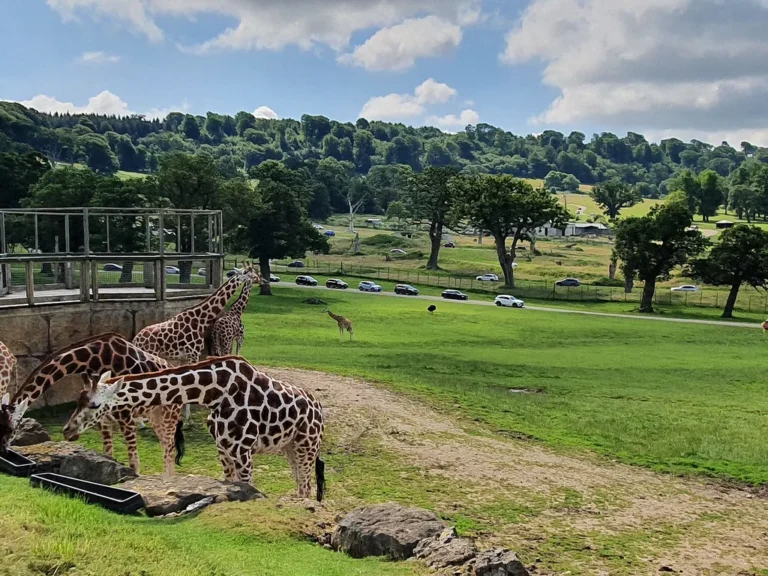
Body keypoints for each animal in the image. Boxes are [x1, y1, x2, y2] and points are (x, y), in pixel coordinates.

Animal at [0, 333, 184, 476]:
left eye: (10, 429)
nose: (3, 451)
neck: (93, 360)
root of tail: (169, 364)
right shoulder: (103, 418)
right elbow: (108, 454)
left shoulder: (125, 415)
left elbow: (134, 464)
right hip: (155, 416)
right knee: (165, 446)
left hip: (170, 414)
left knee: (169, 448)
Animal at [66, 356, 327, 501]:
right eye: (78, 399)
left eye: (94, 404)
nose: (67, 430)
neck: (214, 393)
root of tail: (319, 408)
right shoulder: (223, 448)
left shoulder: (243, 450)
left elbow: (249, 487)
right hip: (289, 447)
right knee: (300, 484)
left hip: (306, 446)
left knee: (306, 486)